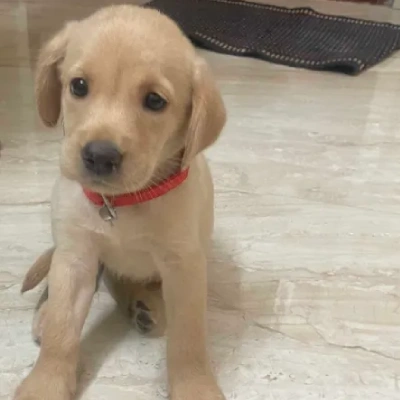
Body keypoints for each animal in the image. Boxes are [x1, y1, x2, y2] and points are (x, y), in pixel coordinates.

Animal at [14, 5, 227, 400]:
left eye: (155, 101)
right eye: (78, 86)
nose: (99, 156)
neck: (122, 202)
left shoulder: (184, 266)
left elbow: (188, 339)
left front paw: (195, 386)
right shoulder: (76, 257)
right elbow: (62, 331)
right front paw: (45, 383)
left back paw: (143, 305)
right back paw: (47, 313)